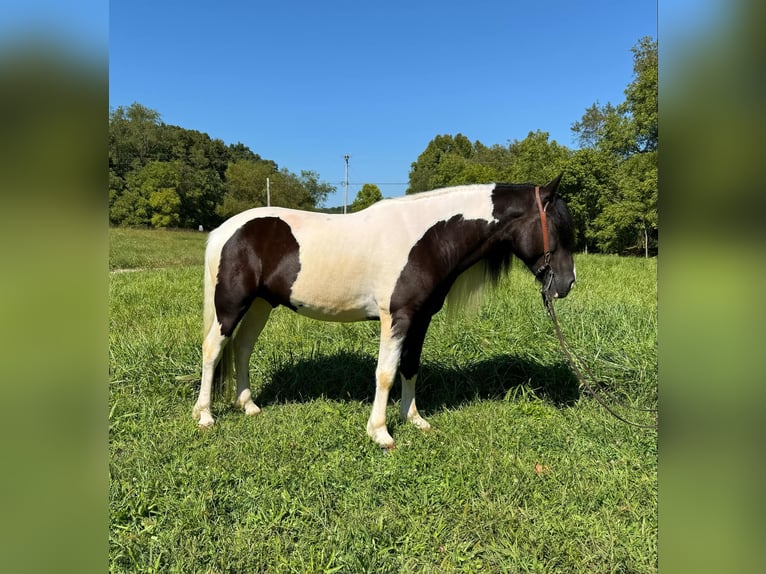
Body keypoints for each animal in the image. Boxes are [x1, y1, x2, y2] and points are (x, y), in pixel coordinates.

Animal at [193, 174, 576, 448]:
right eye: (557, 229)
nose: (566, 284)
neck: (428, 238)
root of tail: (225, 230)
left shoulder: (421, 319)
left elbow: (410, 368)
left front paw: (415, 420)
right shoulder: (397, 318)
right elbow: (386, 373)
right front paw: (380, 432)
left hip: (260, 305)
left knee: (242, 349)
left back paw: (248, 405)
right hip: (231, 305)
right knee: (213, 350)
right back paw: (205, 415)